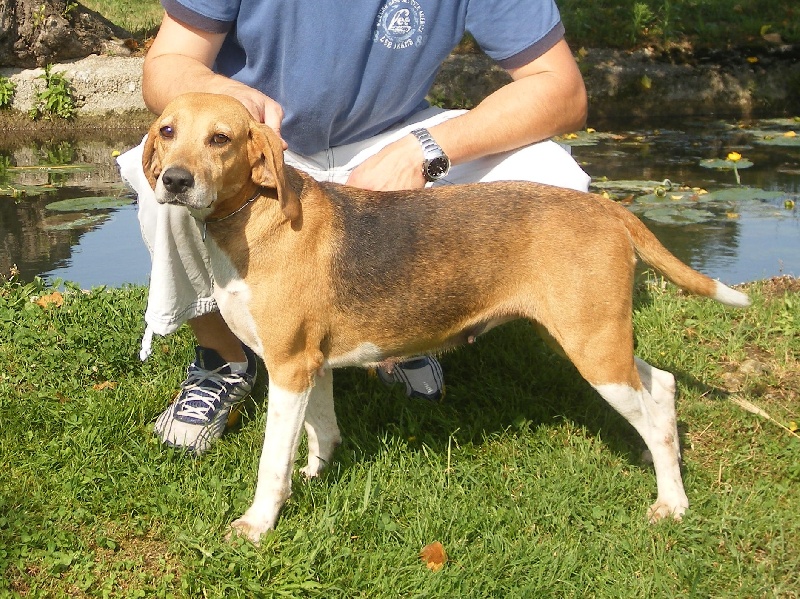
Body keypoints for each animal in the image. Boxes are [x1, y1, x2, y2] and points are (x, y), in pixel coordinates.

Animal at [142, 92, 752, 544]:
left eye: (220, 138)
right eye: (168, 131)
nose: (174, 181)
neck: (256, 214)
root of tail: (607, 207)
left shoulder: (290, 367)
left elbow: (272, 462)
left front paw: (258, 523)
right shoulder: (310, 365)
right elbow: (321, 429)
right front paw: (315, 474)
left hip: (593, 349)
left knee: (654, 423)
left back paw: (671, 501)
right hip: (602, 340)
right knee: (661, 387)